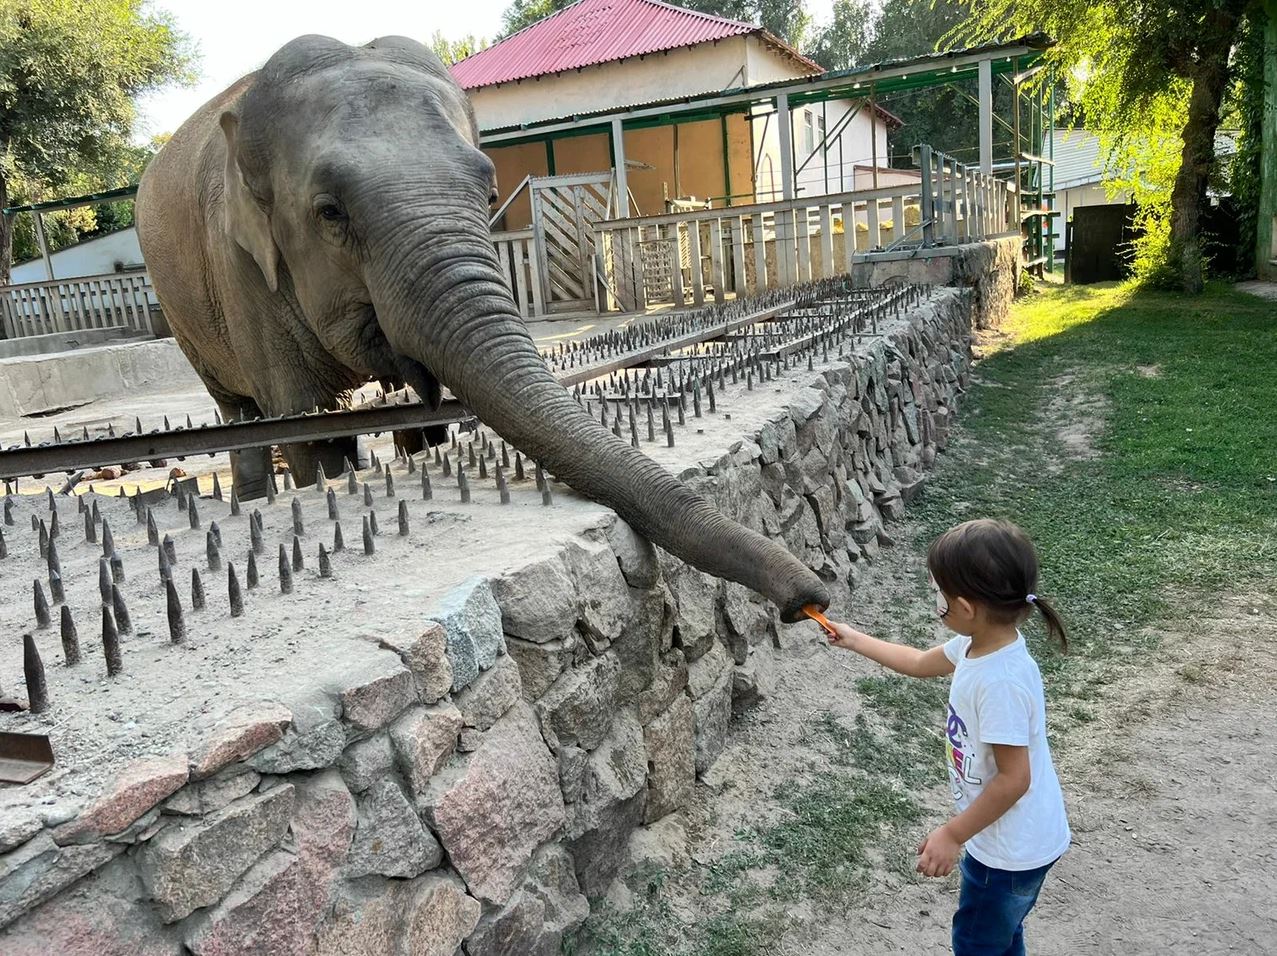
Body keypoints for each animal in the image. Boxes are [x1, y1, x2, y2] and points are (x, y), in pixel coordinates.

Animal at [132, 35, 827, 620]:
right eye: (329, 213)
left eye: (490, 195)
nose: (811, 600)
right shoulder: (242, 271)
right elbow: (307, 427)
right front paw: (323, 474)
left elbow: (423, 417)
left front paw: (425, 434)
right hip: (181, 310)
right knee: (241, 409)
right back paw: (252, 497)